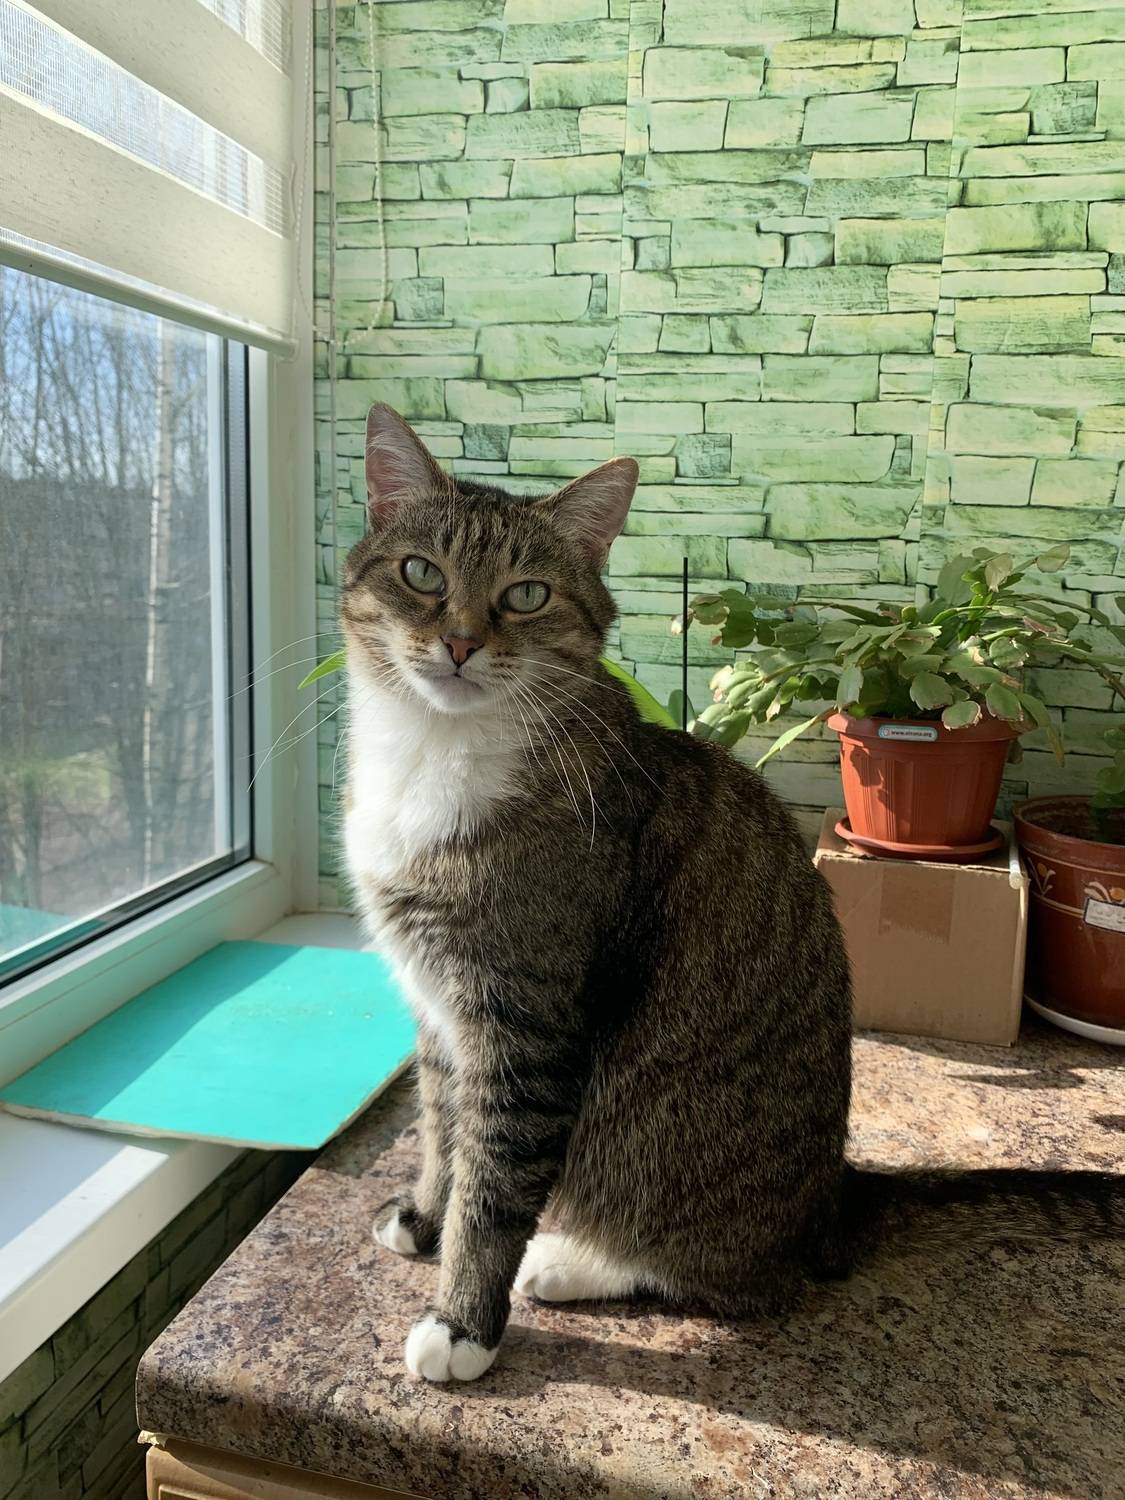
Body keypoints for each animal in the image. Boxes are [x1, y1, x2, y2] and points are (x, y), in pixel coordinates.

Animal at [343, 404, 1123, 1384]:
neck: (434, 755)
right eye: (421, 573)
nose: (458, 643)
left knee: (734, 1278)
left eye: (525, 595)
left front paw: (461, 1327)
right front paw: (424, 1216)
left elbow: (493, 1185)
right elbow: (443, 1131)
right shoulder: (439, 1011)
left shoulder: (524, 1023)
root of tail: (832, 1201)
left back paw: (572, 1262)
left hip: (661, 1145)